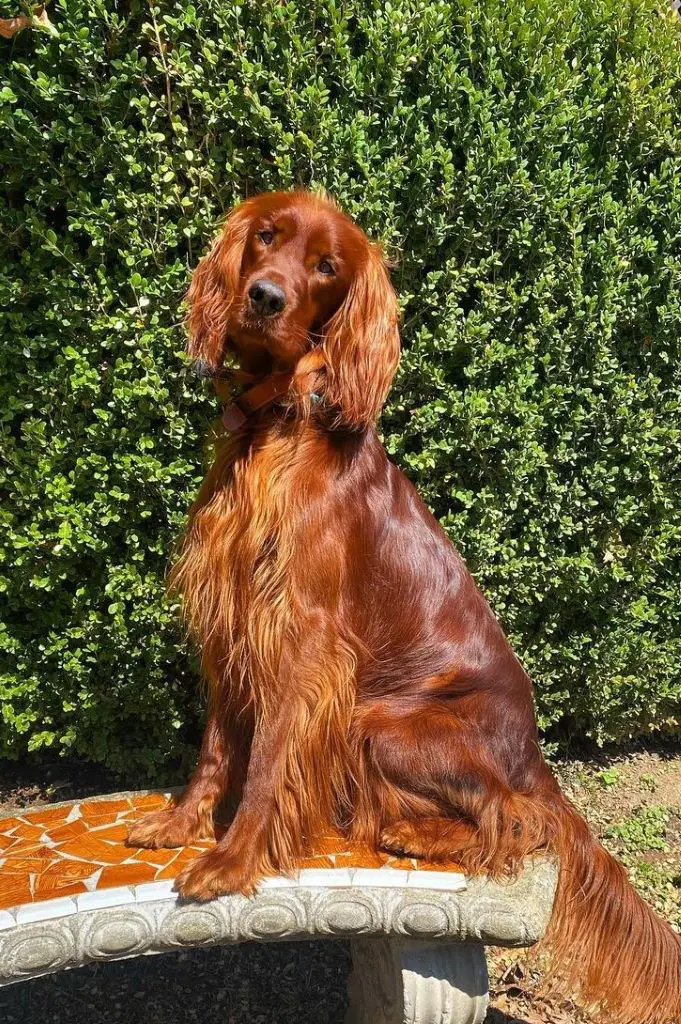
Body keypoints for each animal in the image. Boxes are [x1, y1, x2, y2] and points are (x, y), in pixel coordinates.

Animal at [129, 192, 679, 1024]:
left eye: (327, 266)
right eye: (266, 235)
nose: (264, 297)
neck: (277, 423)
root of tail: (531, 750)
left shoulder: (303, 635)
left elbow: (267, 759)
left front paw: (233, 859)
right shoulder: (234, 621)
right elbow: (218, 748)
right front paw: (180, 823)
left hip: (384, 721)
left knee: (521, 819)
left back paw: (428, 837)